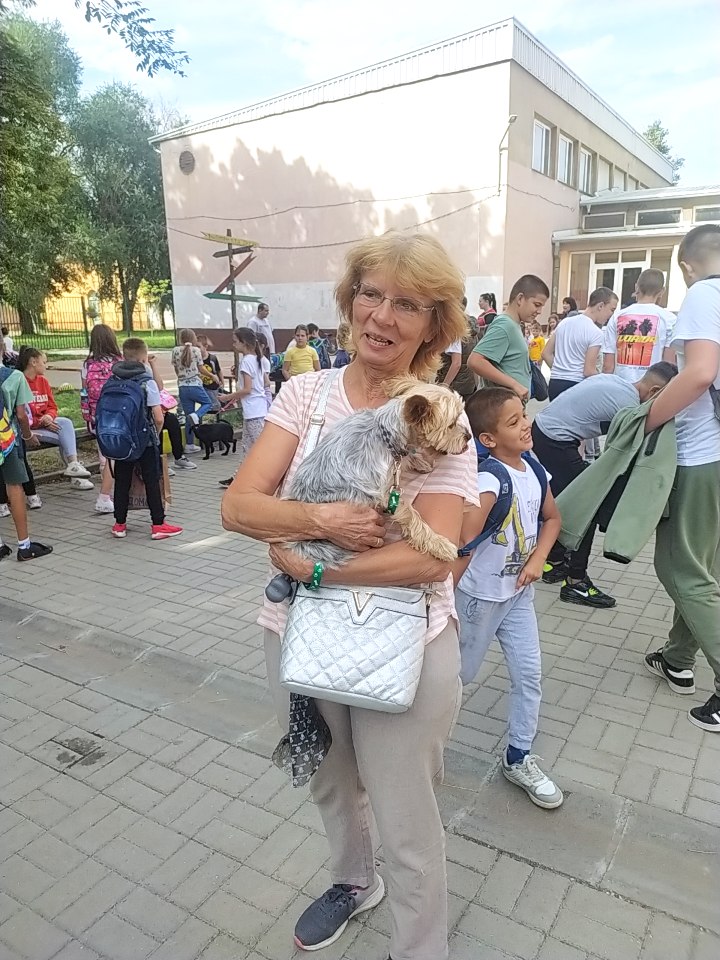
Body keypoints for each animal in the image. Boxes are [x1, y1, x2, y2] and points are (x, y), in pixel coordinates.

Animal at [265, 376, 470, 601]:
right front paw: (438, 544)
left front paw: (419, 462)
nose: (469, 436)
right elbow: (411, 515)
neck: (385, 433)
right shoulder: (386, 494)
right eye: (452, 424)